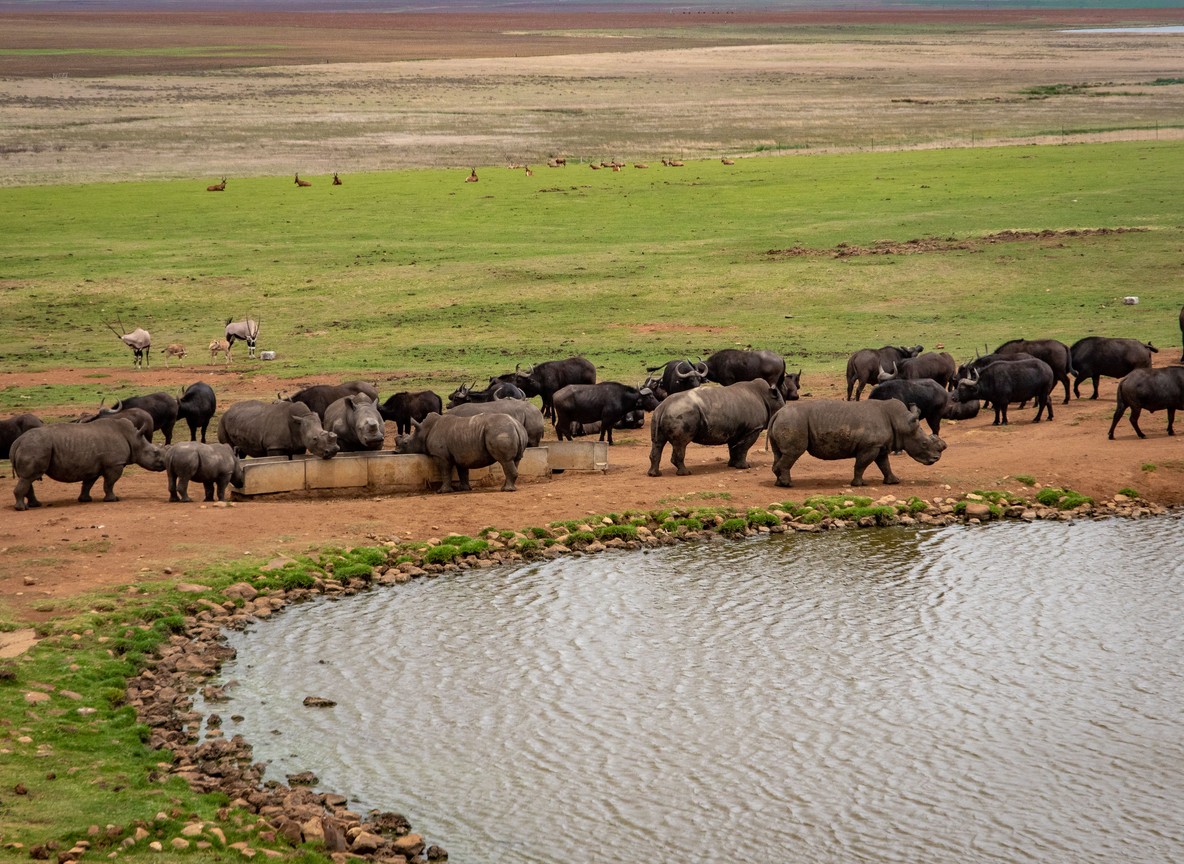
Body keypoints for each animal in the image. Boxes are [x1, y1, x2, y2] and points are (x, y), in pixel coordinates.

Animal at [10, 417, 166, 510]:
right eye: (155, 452)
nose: (164, 465)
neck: (134, 439)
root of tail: (17, 442)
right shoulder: (114, 464)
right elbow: (110, 483)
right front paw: (113, 500)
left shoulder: (92, 466)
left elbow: (88, 483)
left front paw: (85, 500)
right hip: (35, 446)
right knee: (28, 477)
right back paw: (22, 508)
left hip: (32, 446)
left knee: (27, 478)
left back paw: (35, 505)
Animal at [395, 411, 528, 493]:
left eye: (405, 443)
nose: (396, 452)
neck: (423, 431)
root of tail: (516, 424)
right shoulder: (461, 453)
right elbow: (462, 472)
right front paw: (463, 489)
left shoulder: (440, 456)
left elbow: (445, 471)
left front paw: (442, 491)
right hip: (513, 430)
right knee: (515, 460)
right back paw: (508, 488)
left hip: (499, 431)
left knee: (505, 461)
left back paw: (506, 490)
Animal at [648, 379, 784, 477]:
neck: (767, 397)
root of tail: (663, 406)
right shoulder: (753, 429)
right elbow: (744, 448)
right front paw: (745, 466)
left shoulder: (735, 429)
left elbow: (733, 448)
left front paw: (732, 465)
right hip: (681, 413)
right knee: (681, 444)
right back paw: (685, 473)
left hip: (660, 413)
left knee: (658, 443)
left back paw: (654, 474)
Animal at [768, 399, 947, 488]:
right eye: (924, 444)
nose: (936, 458)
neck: (902, 422)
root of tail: (777, 413)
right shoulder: (870, 446)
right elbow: (861, 464)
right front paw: (859, 484)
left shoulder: (880, 446)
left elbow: (885, 464)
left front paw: (894, 481)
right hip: (793, 421)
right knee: (793, 453)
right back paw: (788, 485)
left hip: (788, 420)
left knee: (780, 453)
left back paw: (779, 483)